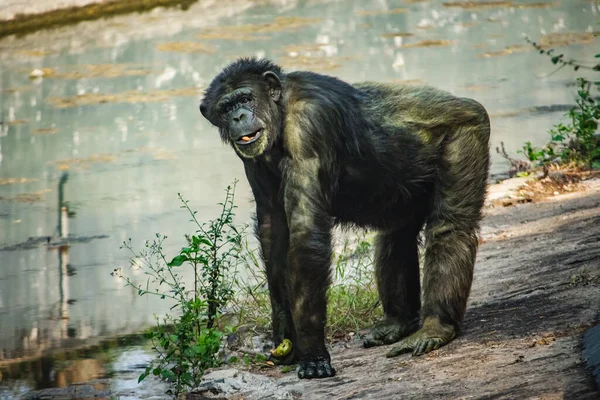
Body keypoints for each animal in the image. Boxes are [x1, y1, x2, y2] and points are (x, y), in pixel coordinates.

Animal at [199, 56, 490, 378]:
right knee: (395, 236)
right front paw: (285, 334)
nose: (238, 116)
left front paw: (312, 353)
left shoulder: (310, 126)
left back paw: (436, 327)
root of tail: (464, 103)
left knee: (450, 227)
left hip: (466, 133)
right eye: (226, 108)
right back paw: (398, 322)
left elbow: (306, 237)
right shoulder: (252, 160)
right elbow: (273, 228)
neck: (281, 111)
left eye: (245, 98)